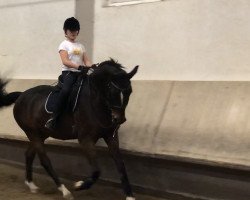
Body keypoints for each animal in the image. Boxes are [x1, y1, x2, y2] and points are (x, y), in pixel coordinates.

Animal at [0, 59, 139, 200]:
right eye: (111, 90)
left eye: (129, 91)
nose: (119, 119)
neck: (96, 102)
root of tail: (21, 95)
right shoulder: (85, 139)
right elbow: (96, 171)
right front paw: (79, 185)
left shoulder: (111, 137)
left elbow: (121, 166)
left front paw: (130, 196)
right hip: (32, 133)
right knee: (45, 161)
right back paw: (64, 191)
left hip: (40, 134)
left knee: (29, 154)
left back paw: (31, 185)